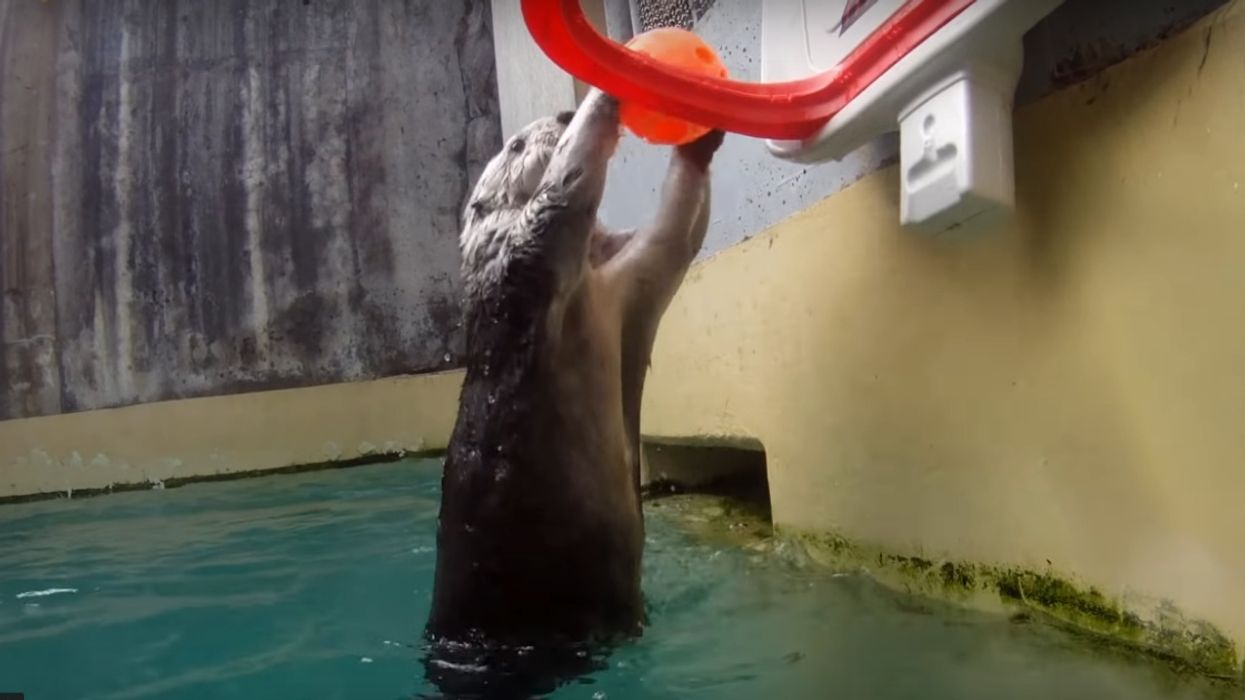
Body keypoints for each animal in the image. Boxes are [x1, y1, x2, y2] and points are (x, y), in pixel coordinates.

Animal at [424, 88, 722, 693]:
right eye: (515, 145)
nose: (558, 117)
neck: (582, 286)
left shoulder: (626, 286)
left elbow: (673, 234)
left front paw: (698, 138)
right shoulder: (527, 258)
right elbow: (565, 189)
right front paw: (600, 98)